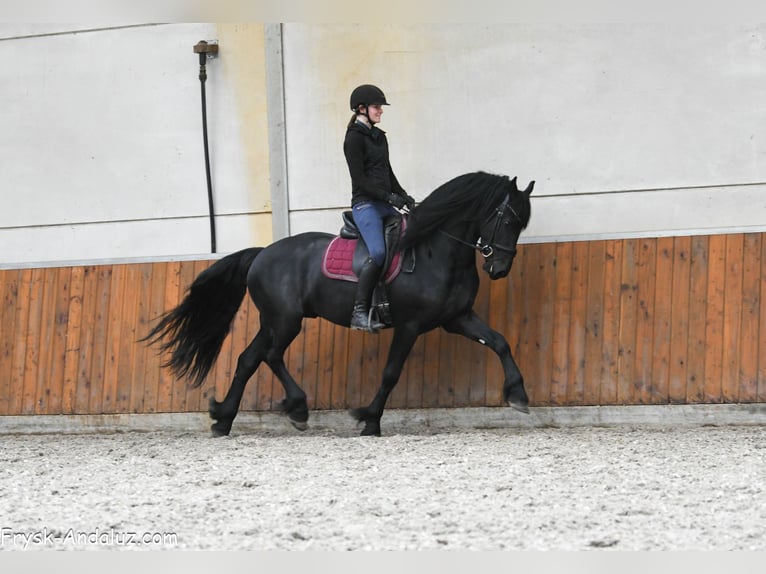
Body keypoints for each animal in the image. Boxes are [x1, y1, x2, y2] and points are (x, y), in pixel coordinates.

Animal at [142, 171, 534, 436]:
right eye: (507, 218)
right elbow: (391, 373)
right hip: (286, 320)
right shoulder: (409, 326)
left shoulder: (458, 318)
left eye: (521, 224)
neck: (434, 251)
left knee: (248, 359)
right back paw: (296, 409)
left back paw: (223, 420)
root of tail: (262, 253)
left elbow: (500, 342)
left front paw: (518, 395)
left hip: (273, 321)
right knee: (270, 355)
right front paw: (370, 420)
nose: (499, 269)